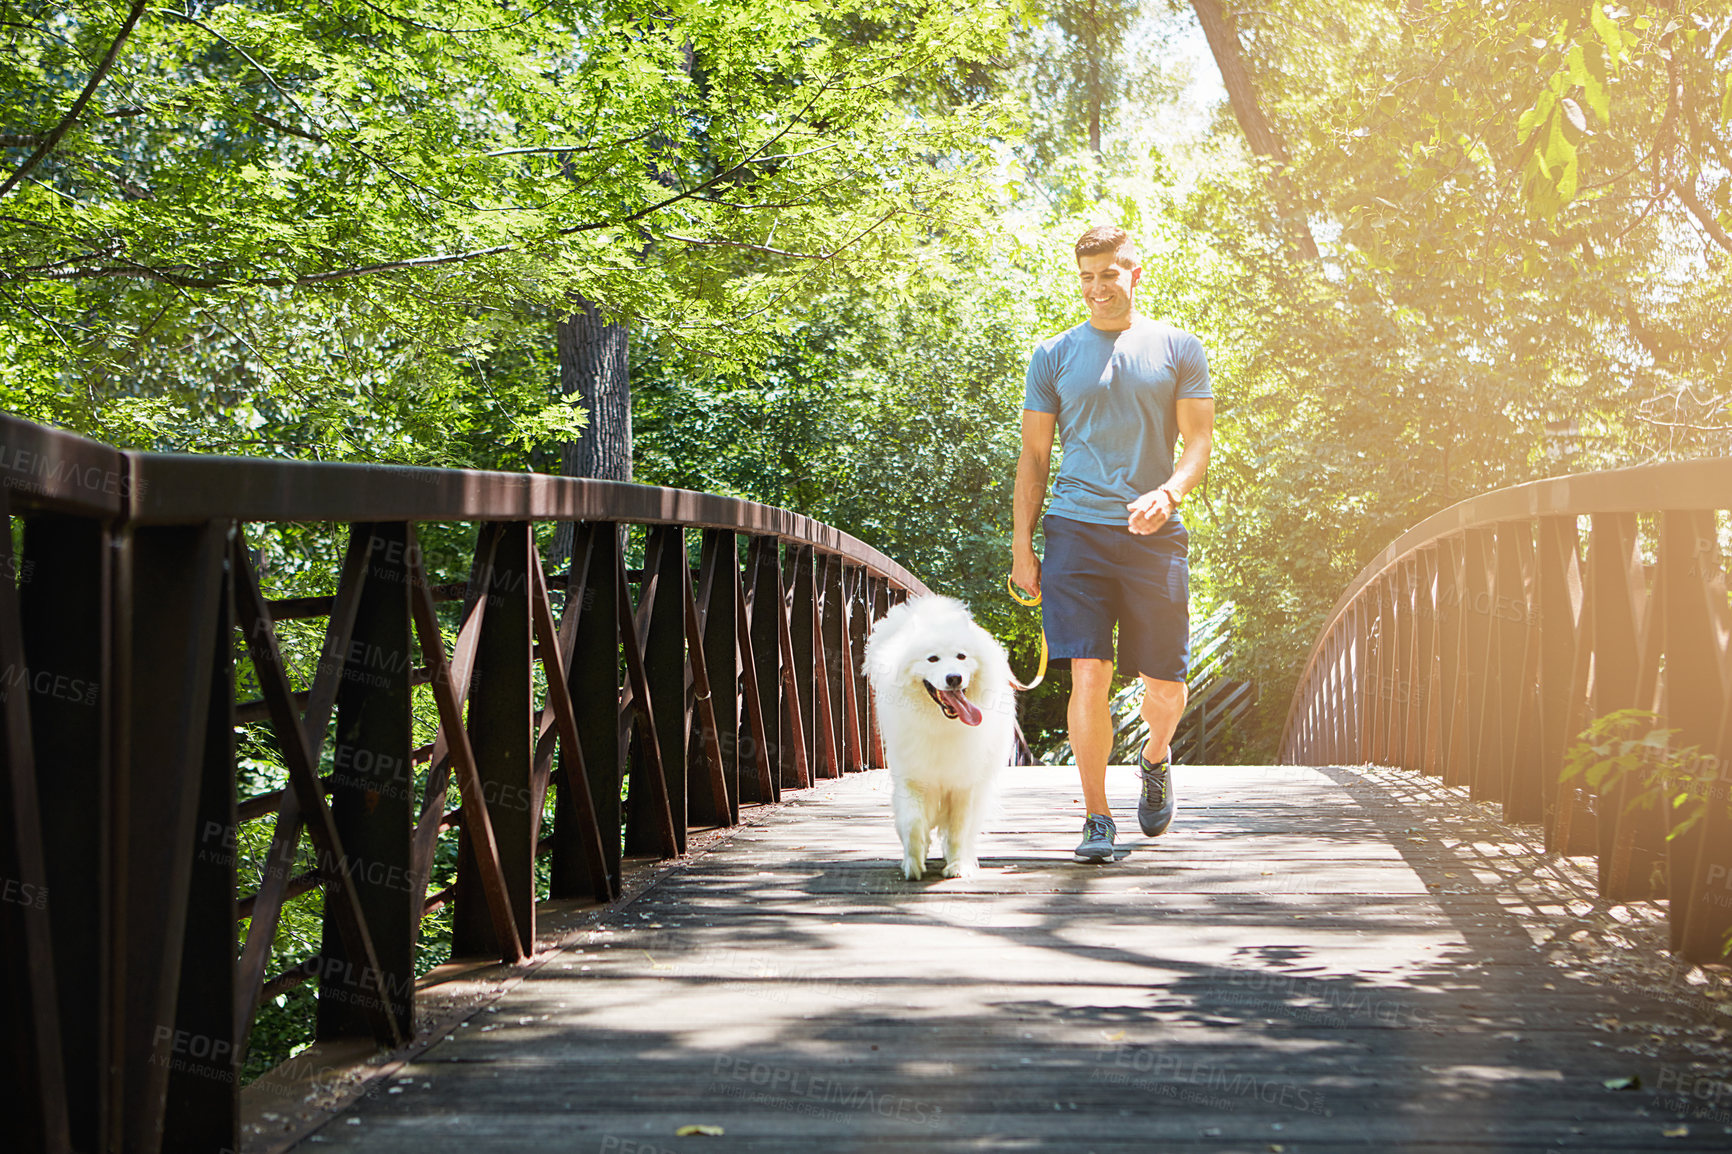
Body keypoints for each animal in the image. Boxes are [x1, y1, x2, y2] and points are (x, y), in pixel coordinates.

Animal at [862, 596, 1011, 876]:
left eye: (961, 656)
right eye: (932, 659)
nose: (954, 678)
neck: (942, 724)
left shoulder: (964, 785)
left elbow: (958, 831)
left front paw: (957, 866)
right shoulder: (912, 778)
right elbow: (912, 823)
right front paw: (913, 862)